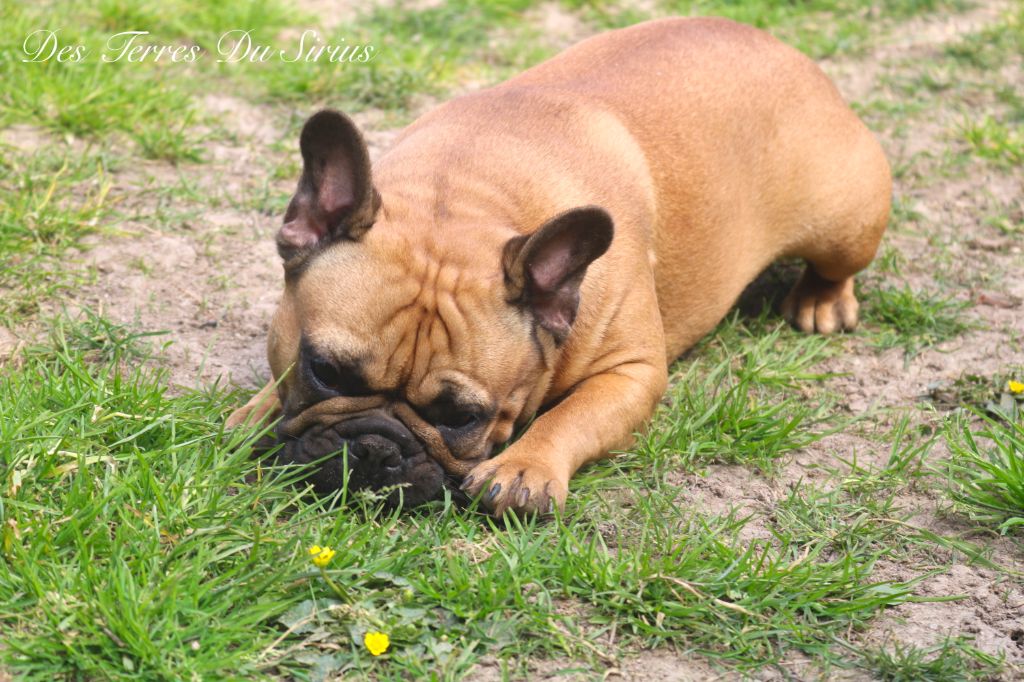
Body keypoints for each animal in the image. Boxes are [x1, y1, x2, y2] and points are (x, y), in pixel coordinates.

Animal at [224, 15, 888, 516]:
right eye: (325, 371)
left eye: (462, 418)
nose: (374, 450)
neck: (465, 194)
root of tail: (786, 51)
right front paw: (258, 409)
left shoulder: (632, 373)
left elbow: (570, 416)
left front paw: (523, 467)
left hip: (845, 224)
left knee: (836, 265)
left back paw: (820, 302)